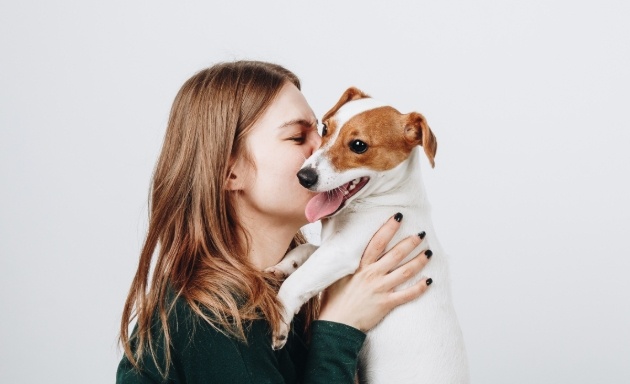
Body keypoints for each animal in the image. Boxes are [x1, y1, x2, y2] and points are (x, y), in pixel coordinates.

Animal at [270, 88, 472, 384]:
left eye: (358, 145)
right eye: (325, 128)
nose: (303, 177)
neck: (389, 199)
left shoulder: (343, 250)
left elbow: (296, 283)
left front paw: (281, 316)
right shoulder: (332, 246)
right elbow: (307, 251)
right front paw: (283, 265)